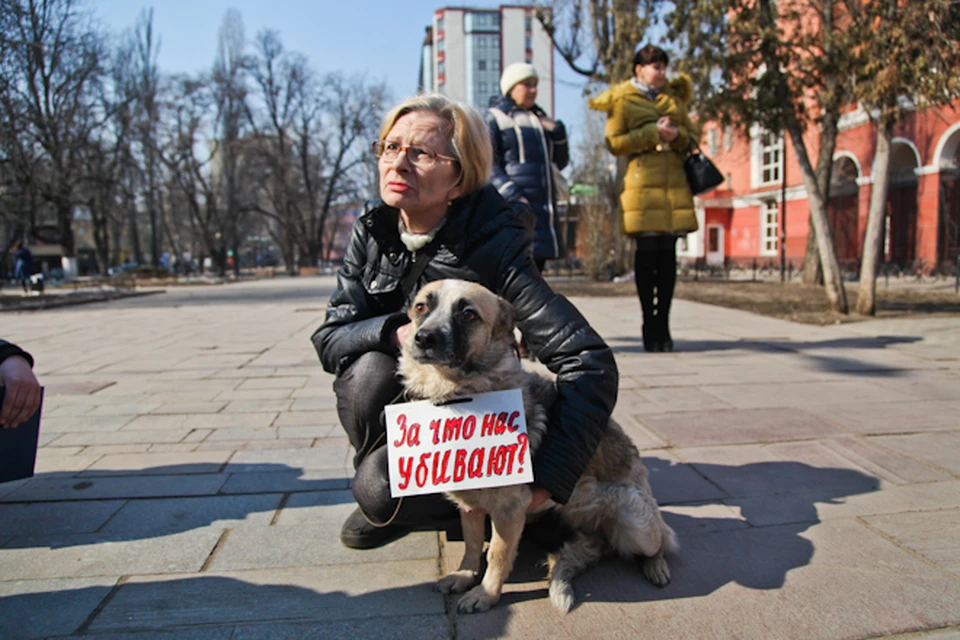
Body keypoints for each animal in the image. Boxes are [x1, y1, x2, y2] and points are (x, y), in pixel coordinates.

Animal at [398, 282, 676, 616]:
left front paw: (486, 594)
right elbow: (472, 545)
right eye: (421, 307)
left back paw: (656, 566)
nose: (424, 337)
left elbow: (497, 556)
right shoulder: (470, 506)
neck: (459, 394)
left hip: (638, 521)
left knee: (661, 543)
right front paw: (465, 574)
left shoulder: (510, 511)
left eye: (468, 314)